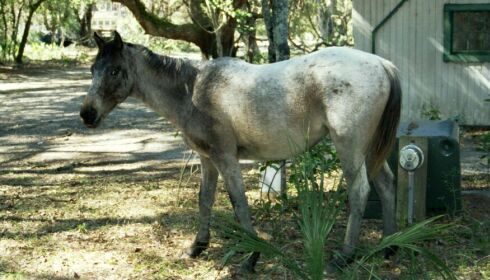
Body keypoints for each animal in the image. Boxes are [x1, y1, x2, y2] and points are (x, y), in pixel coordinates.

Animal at [80, 32, 400, 272]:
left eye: (114, 70)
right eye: (93, 70)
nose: (87, 114)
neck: (194, 90)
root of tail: (383, 64)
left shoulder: (225, 158)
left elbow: (238, 202)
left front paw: (251, 257)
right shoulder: (207, 159)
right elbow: (205, 199)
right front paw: (197, 246)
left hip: (350, 147)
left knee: (359, 190)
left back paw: (344, 256)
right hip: (369, 150)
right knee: (386, 184)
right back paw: (390, 245)